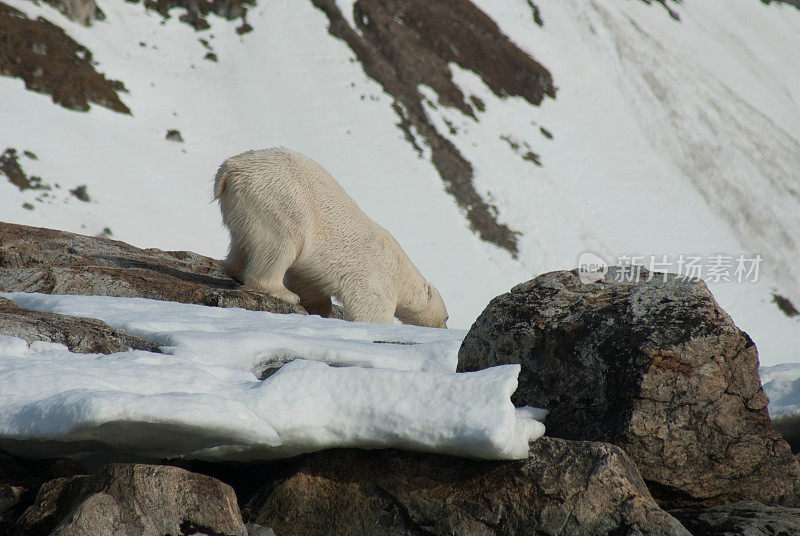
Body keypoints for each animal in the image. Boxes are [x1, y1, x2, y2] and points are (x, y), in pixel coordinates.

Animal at [212, 147, 450, 326]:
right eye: (447, 316)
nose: (444, 326)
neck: (401, 272)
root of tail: (230, 168)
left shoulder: (311, 271)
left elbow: (307, 280)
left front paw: (319, 307)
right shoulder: (376, 275)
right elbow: (370, 307)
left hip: (244, 205)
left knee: (243, 241)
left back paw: (236, 270)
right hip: (280, 199)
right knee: (280, 245)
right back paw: (282, 292)